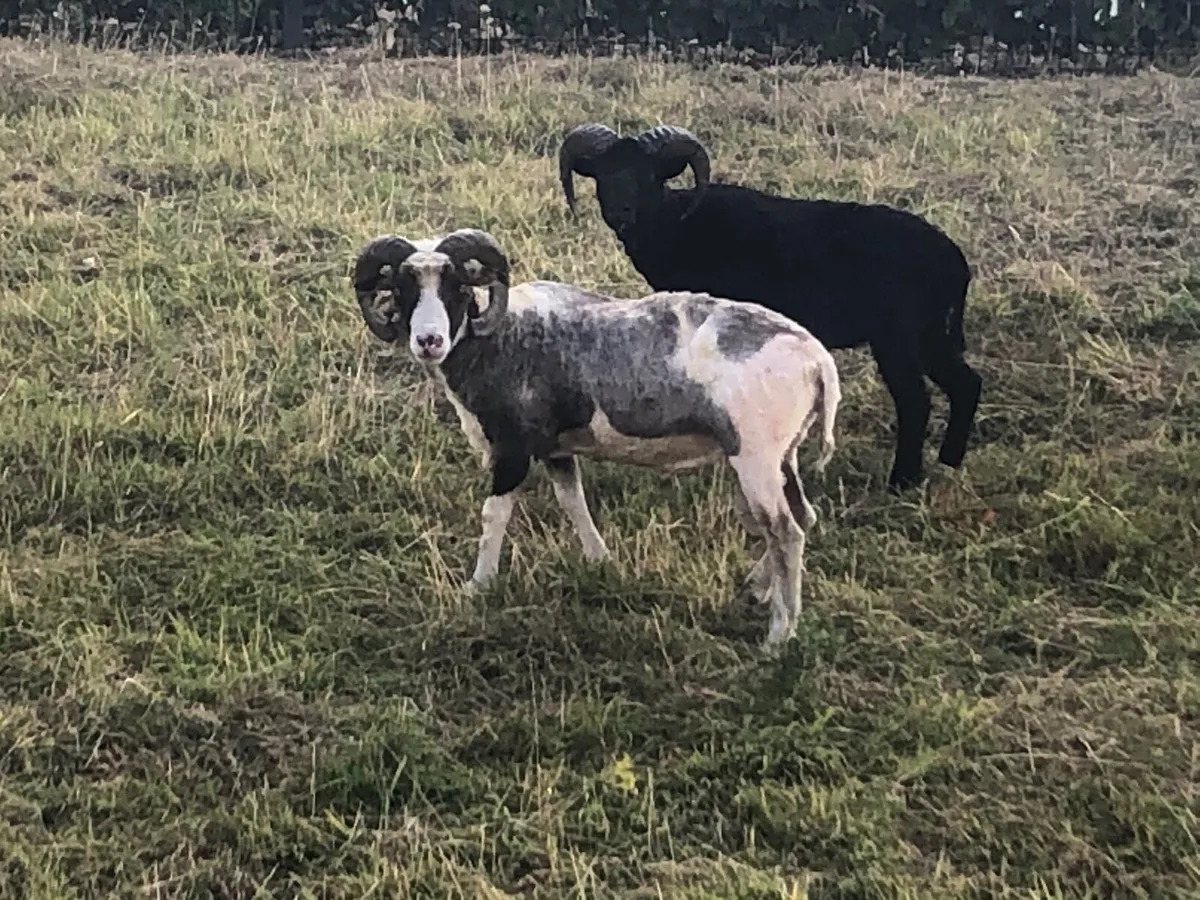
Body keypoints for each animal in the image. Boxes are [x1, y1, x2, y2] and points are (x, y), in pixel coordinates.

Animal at [351, 227, 842, 648]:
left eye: (457, 289)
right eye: (403, 290)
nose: (428, 341)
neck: (503, 337)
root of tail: (817, 361)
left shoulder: (513, 449)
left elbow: (494, 516)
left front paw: (478, 585)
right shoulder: (553, 449)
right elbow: (573, 500)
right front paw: (599, 560)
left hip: (756, 459)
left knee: (786, 532)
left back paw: (778, 636)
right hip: (781, 457)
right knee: (803, 518)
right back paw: (756, 590)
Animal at [557, 122, 983, 494]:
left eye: (649, 176)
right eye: (603, 175)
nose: (621, 213)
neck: (679, 223)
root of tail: (954, 263)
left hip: (899, 338)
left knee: (916, 401)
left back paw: (901, 481)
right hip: (933, 334)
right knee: (966, 383)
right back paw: (949, 461)